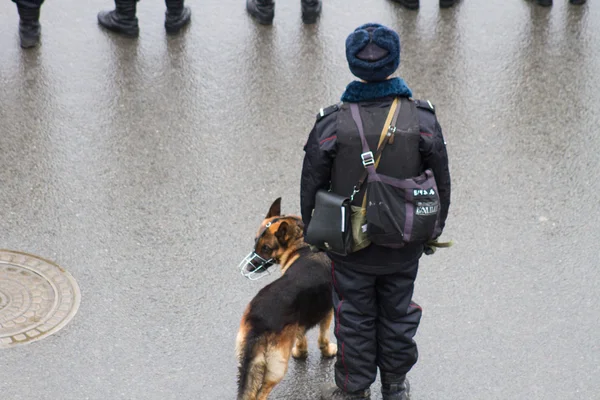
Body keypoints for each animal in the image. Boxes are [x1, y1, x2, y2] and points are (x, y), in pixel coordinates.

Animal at [236, 198, 338, 400]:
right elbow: (323, 338)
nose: (248, 269)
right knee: (261, 393)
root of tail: (258, 322)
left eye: (265, 248)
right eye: (256, 243)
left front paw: (300, 352)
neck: (301, 244)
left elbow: (301, 336)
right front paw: (328, 351)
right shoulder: (327, 312)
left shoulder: (300, 321)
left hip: (247, 364)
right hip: (276, 369)